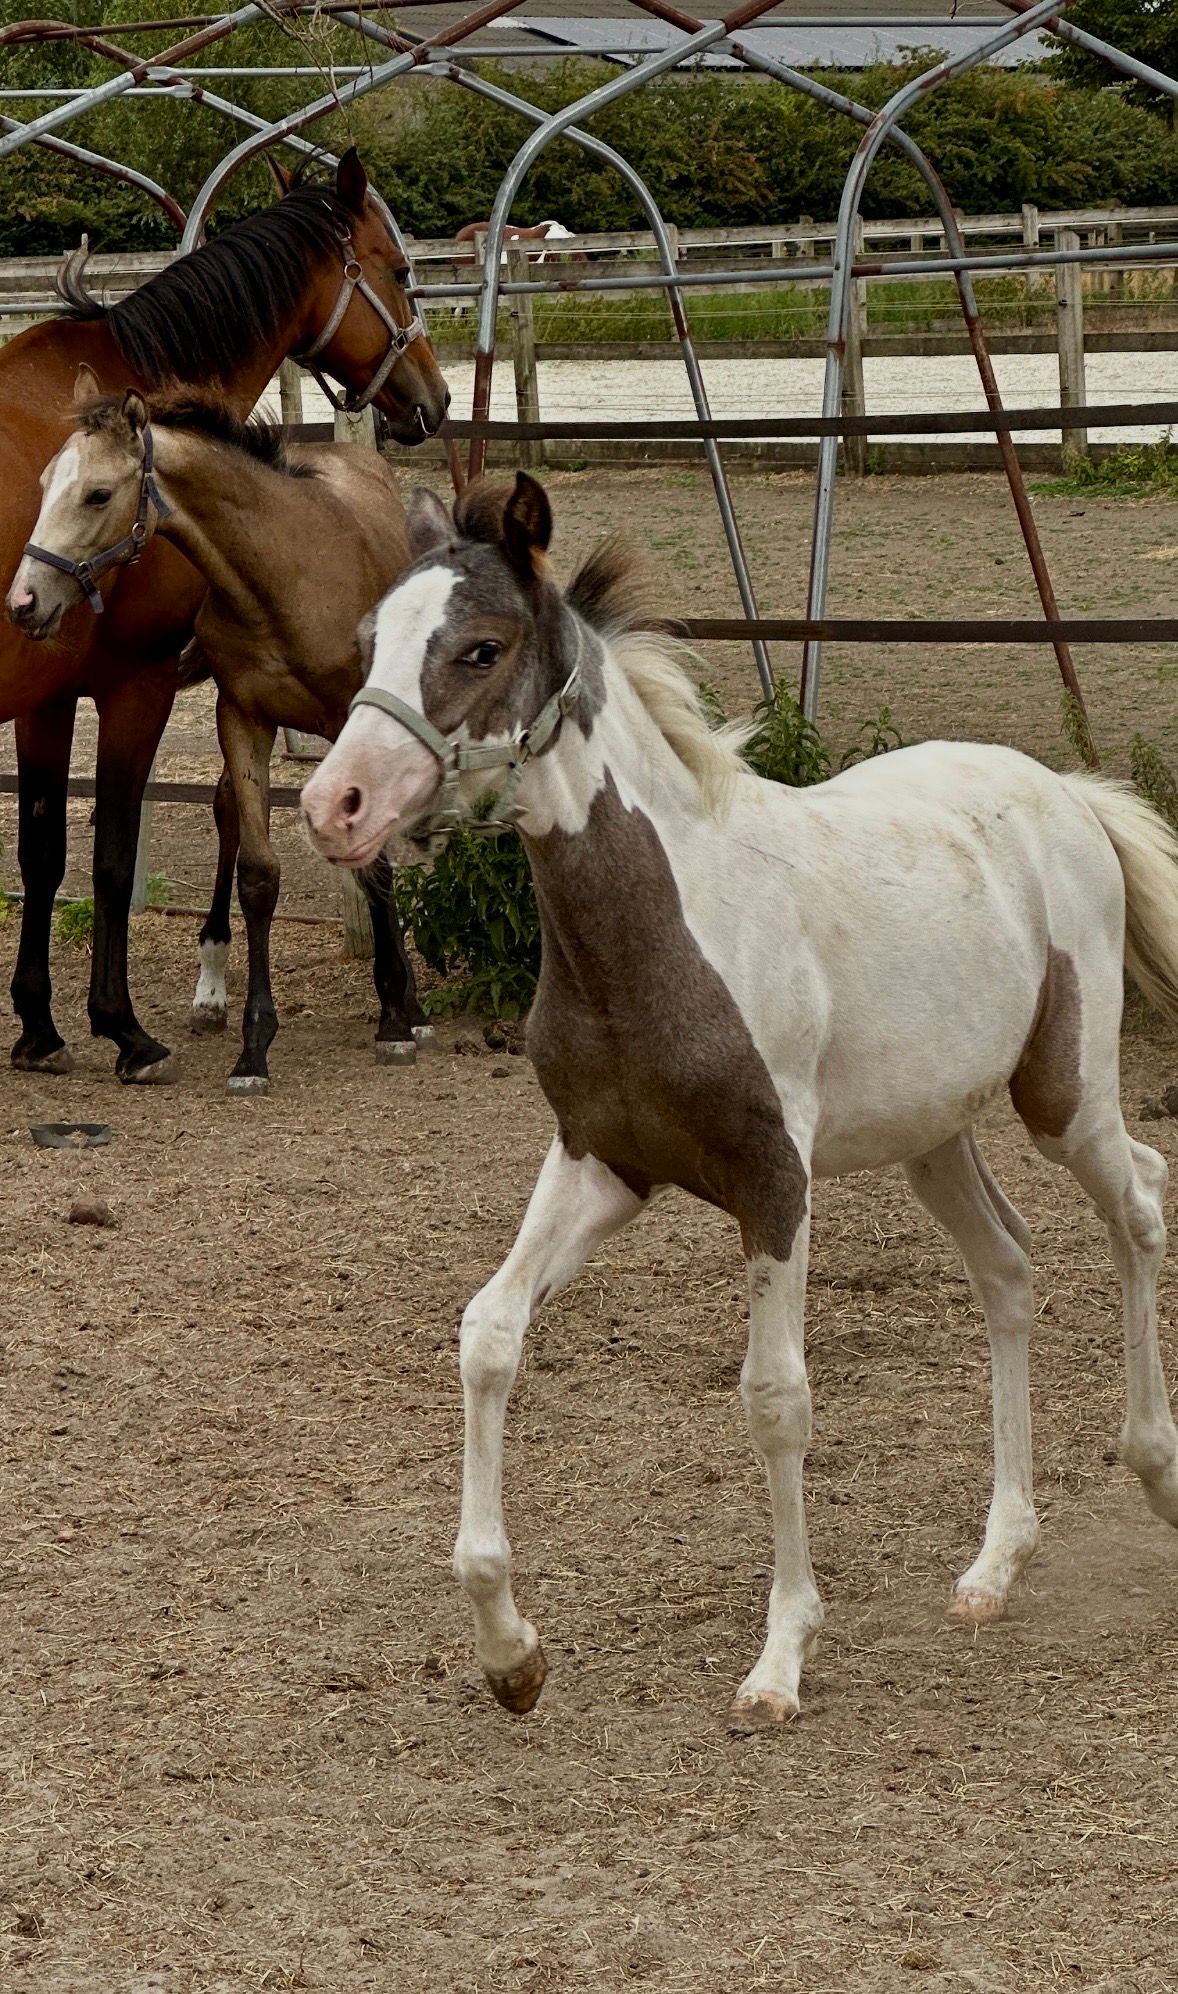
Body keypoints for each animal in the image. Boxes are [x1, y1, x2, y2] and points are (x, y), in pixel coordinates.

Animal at [0, 147, 447, 1084]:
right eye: (400, 269)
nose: (434, 397)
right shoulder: (137, 682)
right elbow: (112, 856)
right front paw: (121, 1028)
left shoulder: (53, 695)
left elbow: (47, 852)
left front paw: (40, 1026)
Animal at [300, 471, 1178, 1727]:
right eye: (371, 637)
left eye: (479, 645)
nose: (336, 803)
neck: (665, 930)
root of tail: (1059, 789)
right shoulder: (599, 1162)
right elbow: (488, 1332)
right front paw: (510, 1653)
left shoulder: (773, 1181)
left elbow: (774, 1397)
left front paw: (778, 1660)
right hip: (931, 1134)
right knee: (1007, 1269)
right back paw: (991, 1565)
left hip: (1062, 1096)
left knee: (1138, 1202)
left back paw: (1153, 1472)